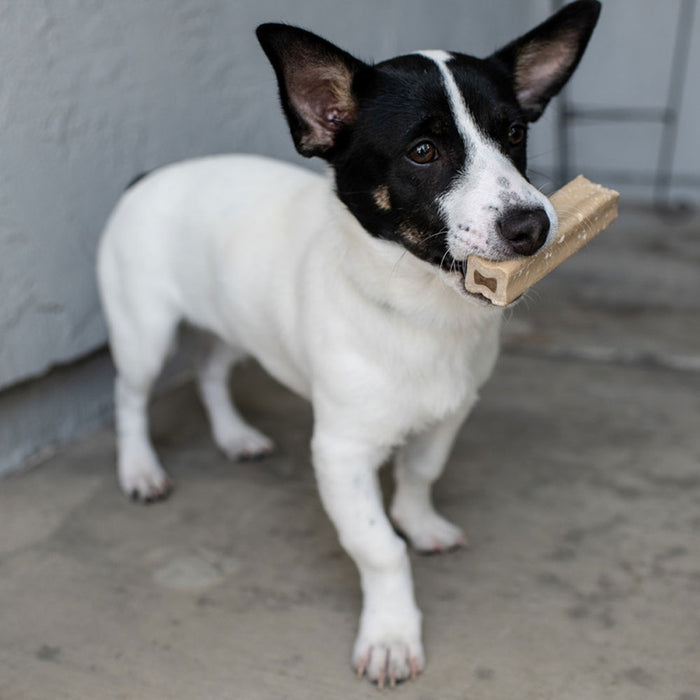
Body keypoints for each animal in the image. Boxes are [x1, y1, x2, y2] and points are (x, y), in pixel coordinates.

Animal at [97, 0, 600, 688]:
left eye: (515, 134)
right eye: (423, 150)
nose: (534, 226)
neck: (417, 312)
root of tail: (146, 177)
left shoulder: (449, 414)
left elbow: (420, 474)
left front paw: (420, 523)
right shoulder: (340, 454)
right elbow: (378, 547)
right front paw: (391, 634)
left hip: (234, 322)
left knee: (209, 370)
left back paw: (234, 436)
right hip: (143, 333)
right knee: (130, 397)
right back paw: (140, 469)